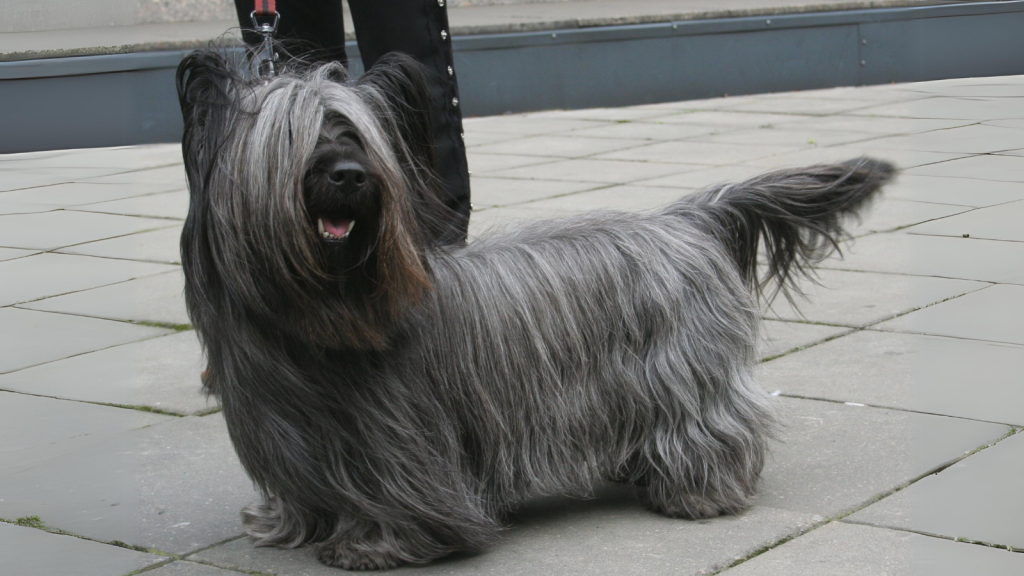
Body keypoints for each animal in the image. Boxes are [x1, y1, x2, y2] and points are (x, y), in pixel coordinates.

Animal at [178, 50, 897, 569]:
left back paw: (699, 493)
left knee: (712, 425)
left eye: (354, 134)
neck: (316, 318)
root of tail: (684, 219)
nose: (352, 176)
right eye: (292, 139)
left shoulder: (402, 443)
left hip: (684, 374)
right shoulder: (292, 437)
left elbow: (402, 499)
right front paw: (288, 527)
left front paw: (373, 545)